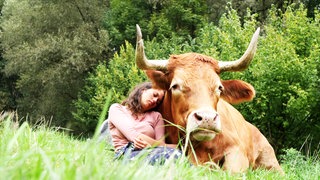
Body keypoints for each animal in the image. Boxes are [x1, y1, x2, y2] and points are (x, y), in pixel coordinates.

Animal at [134, 24, 284, 174]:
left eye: (219, 87)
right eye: (175, 86)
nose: (207, 118)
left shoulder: (237, 150)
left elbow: (231, 170)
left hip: (270, 160)